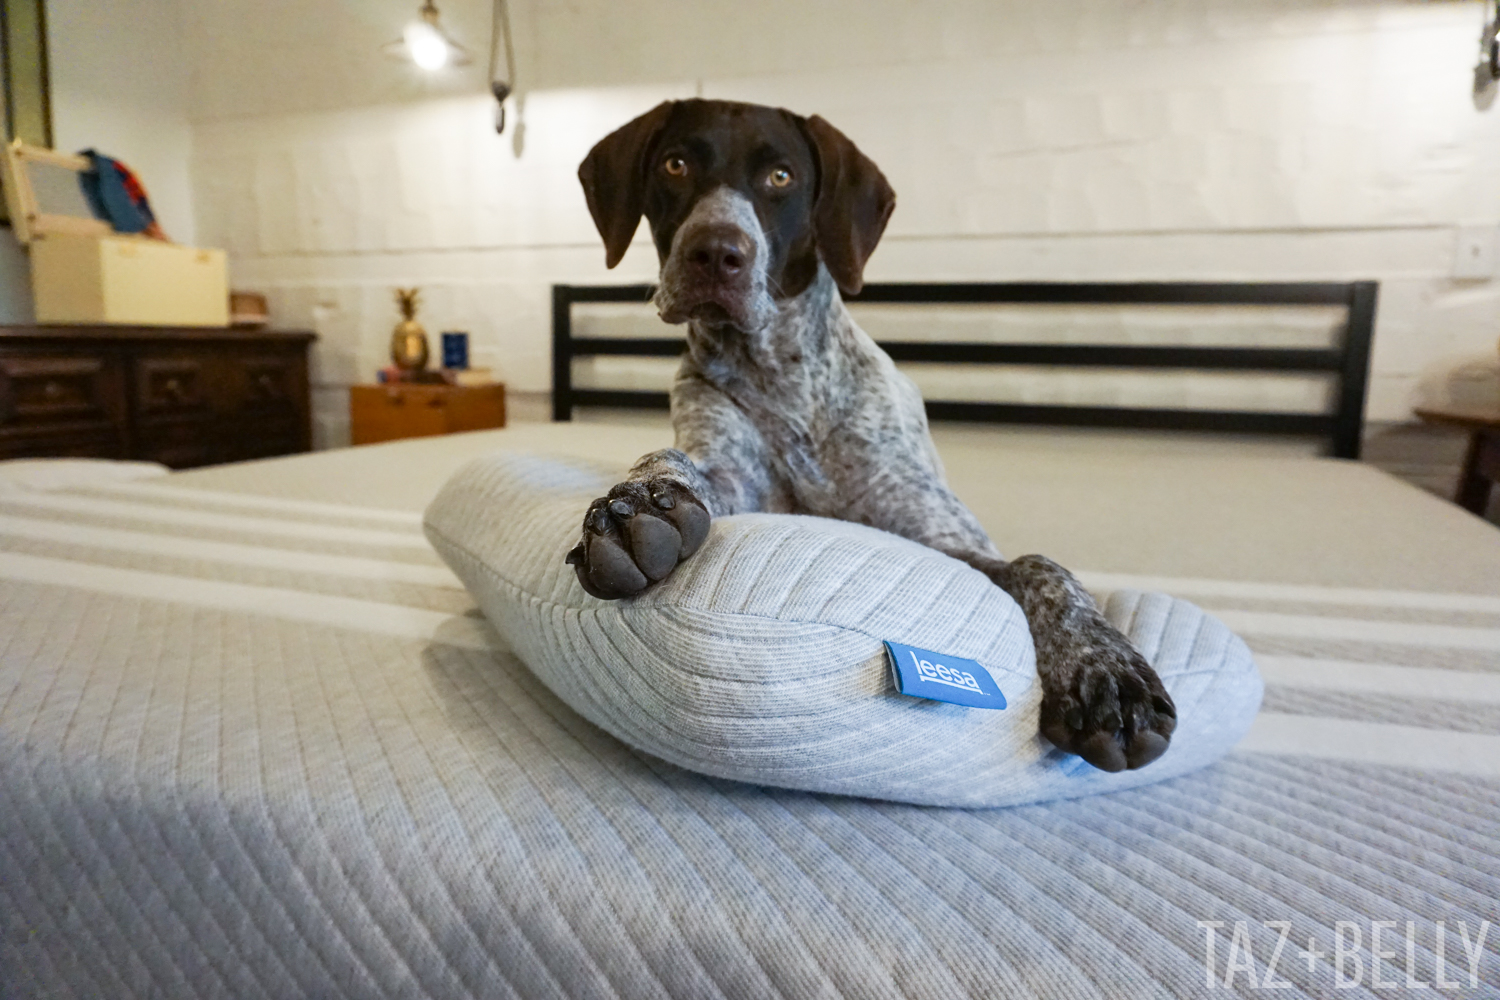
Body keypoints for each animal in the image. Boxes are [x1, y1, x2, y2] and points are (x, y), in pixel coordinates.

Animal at [564, 101, 1170, 773]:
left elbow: (1040, 566)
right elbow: (670, 461)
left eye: (781, 176)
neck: (782, 380)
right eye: (675, 164)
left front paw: (1106, 672)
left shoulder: (943, 537)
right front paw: (637, 505)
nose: (715, 252)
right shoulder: (729, 477)